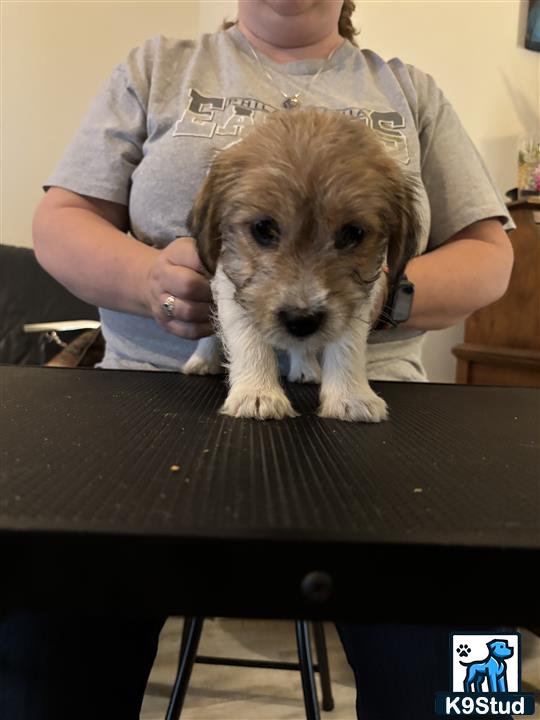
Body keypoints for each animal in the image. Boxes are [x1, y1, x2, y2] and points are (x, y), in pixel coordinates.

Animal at [184, 108, 420, 422]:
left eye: (353, 234)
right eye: (263, 228)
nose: (301, 320)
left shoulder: (358, 297)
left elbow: (348, 344)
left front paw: (351, 396)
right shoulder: (232, 282)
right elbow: (248, 338)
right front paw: (257, 393)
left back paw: (306, 368)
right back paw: (202, 360)